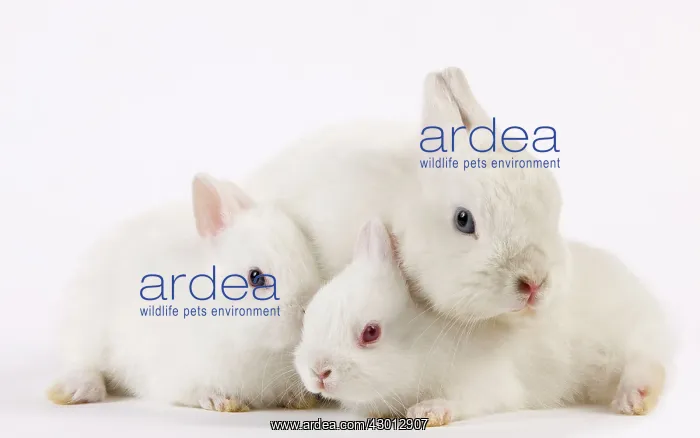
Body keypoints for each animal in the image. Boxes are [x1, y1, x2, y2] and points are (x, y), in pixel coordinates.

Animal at [47, 173, 321, 411]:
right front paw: (220, 401)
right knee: (83, 365)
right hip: (84, 331)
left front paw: (297, 399)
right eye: (256, 277)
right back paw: (77, 391)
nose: (307, 310)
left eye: (310, 258)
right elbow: (195, 391)